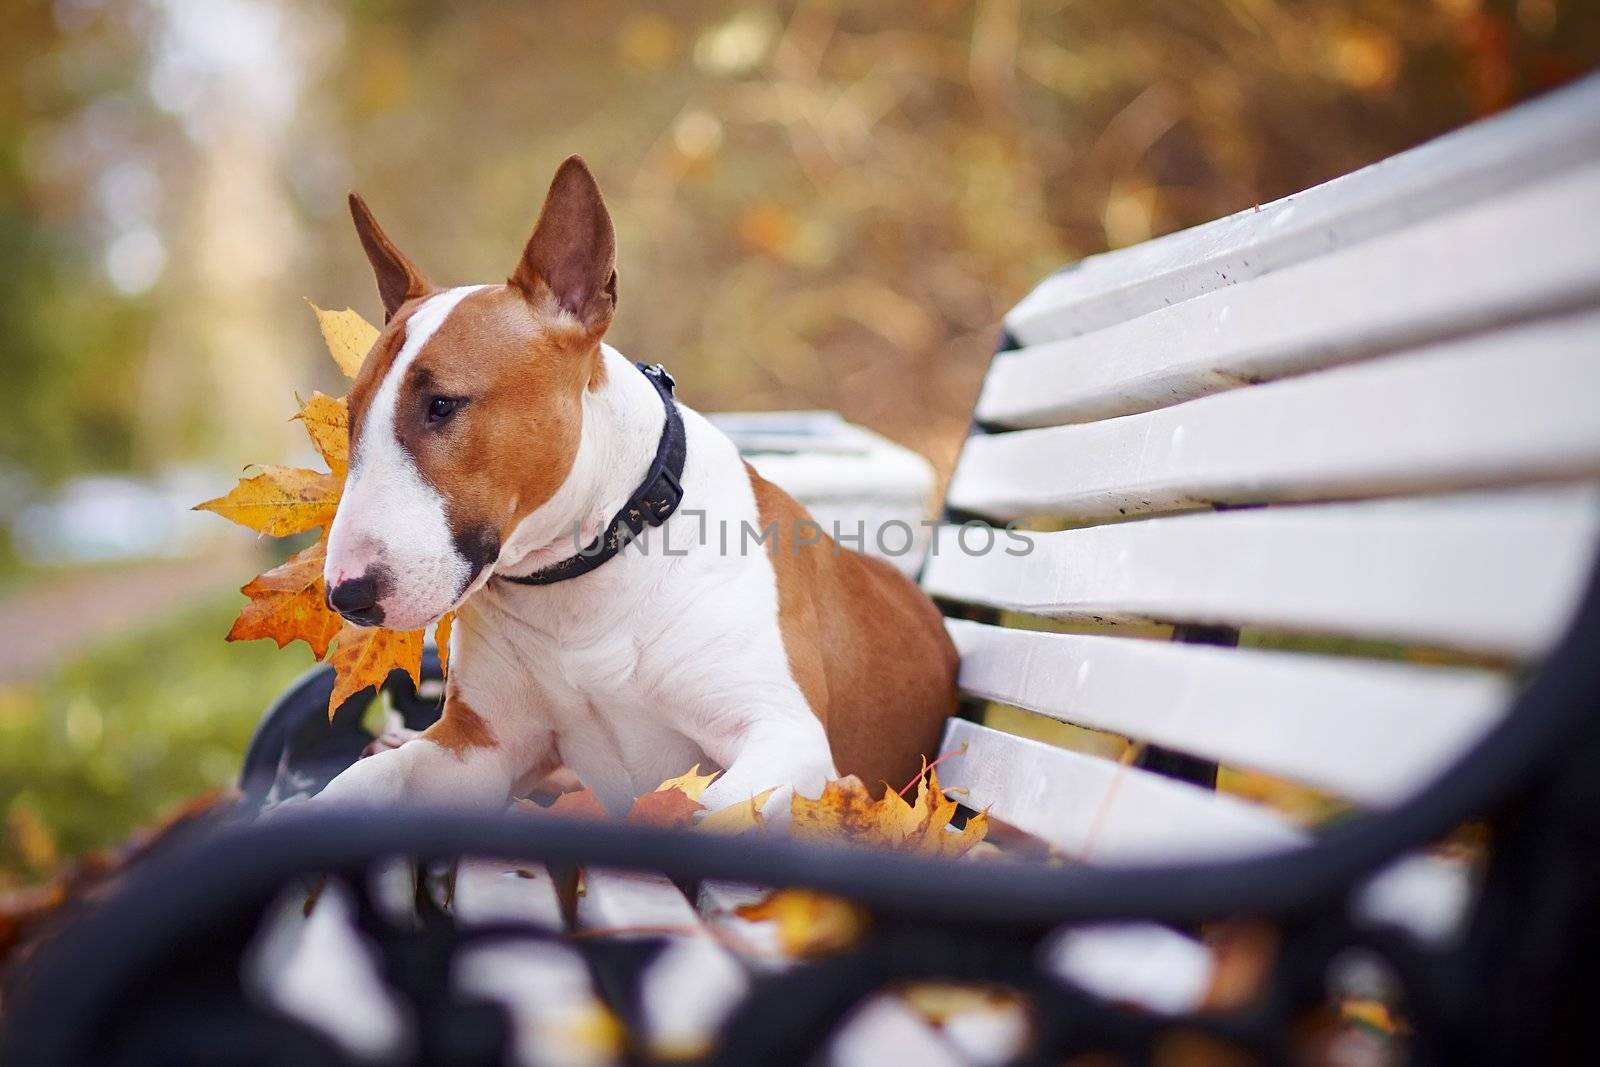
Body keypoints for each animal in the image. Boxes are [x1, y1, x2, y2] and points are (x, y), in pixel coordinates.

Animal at [318, 156, 953, 819]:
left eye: (442, 405)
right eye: (350, 418)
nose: (347, 596)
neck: (585, 579)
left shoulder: (784, 737)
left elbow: (699, 813)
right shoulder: (483, 742)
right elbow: (361, 784)